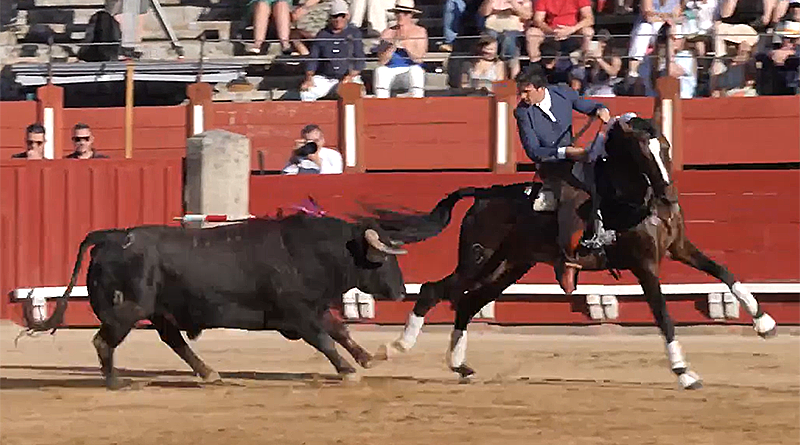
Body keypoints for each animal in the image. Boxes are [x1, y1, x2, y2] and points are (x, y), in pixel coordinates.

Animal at [21, 206, 460, 386]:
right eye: (382, 260)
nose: (401, 292)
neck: (312, 251)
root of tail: (112, 237)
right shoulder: (296, 315)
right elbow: (324, 340)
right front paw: (348, 371)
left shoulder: (312, 308)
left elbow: (339, 331)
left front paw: (368, 358)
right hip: (127, 309)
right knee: (103, 341)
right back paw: (115, 382)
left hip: (158, 311)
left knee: (173, 340)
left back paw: (208, 373)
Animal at [362, 114, 776, 388]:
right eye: (643, 153)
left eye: (666, 147)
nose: (668, 198)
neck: (631, 199)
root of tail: (484, 194)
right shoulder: (645, 266)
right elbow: (663, 316)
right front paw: (684, 372)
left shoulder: (679, 248)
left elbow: (724, 271)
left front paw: (765, 323)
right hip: (478, 258)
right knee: (435, 290)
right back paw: (395, 347)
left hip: (510, 265)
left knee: (467, 301)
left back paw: (459, 365)